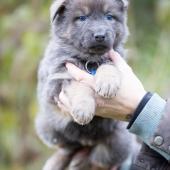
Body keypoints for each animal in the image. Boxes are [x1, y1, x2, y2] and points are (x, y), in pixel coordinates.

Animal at [35, 0, 138, 169]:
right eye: (82, 18)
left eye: (109, 16)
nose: (100, 36)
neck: (90, 59)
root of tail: (87, 142)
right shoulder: (57, 80)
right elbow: (80, 86)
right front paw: (83, 110)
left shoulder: (115, 59)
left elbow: (108, 66)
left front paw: (107, 84)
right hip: (48, 125)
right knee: (67, 149)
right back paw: (55, 162)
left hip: (117, 141)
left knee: (98, 162)